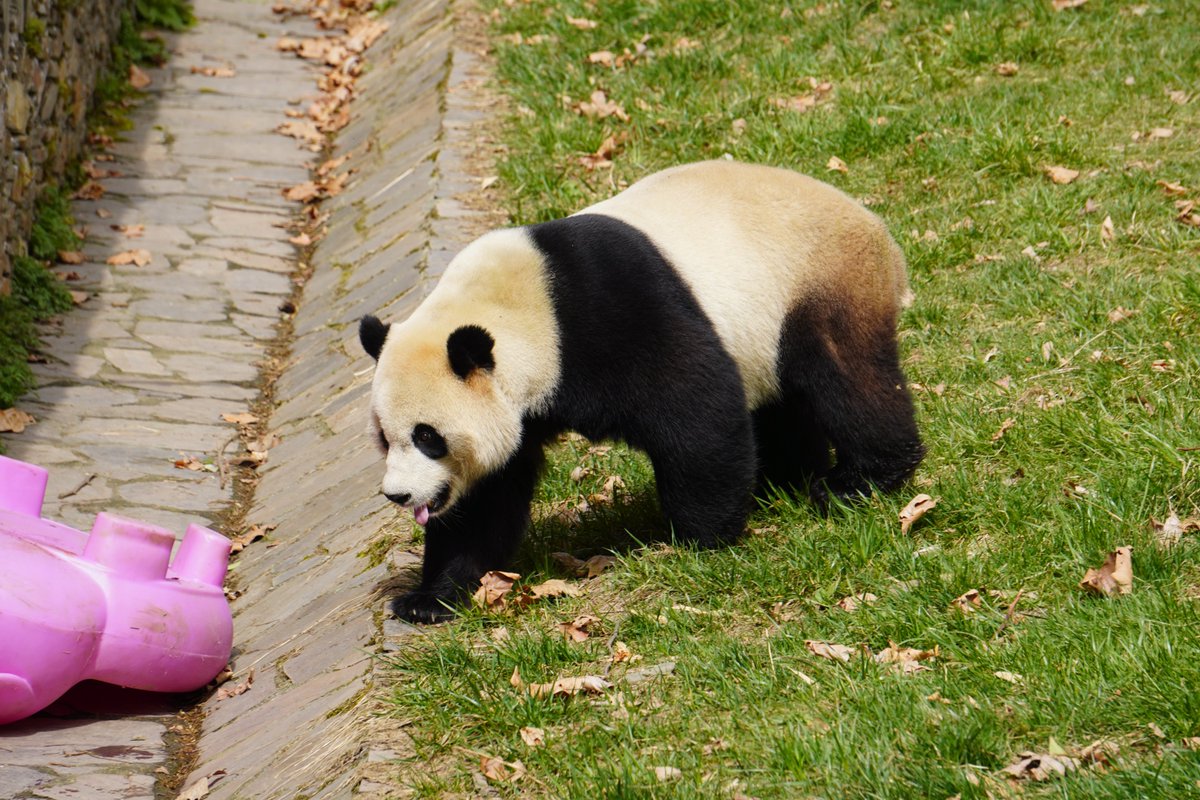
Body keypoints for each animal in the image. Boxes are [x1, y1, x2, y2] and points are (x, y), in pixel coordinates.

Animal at [360, 159, 924, 623]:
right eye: (386, 439)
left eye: (428, 436)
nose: (397, 495)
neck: (522, 311)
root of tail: (878, 230)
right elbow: (484, 496)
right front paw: (430, 599)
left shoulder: (613, 316)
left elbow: (696, 410)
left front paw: (699, 539)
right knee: (779, 407)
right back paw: (781, 479)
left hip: (815, 284)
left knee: (848, 379)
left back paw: (858, 480)